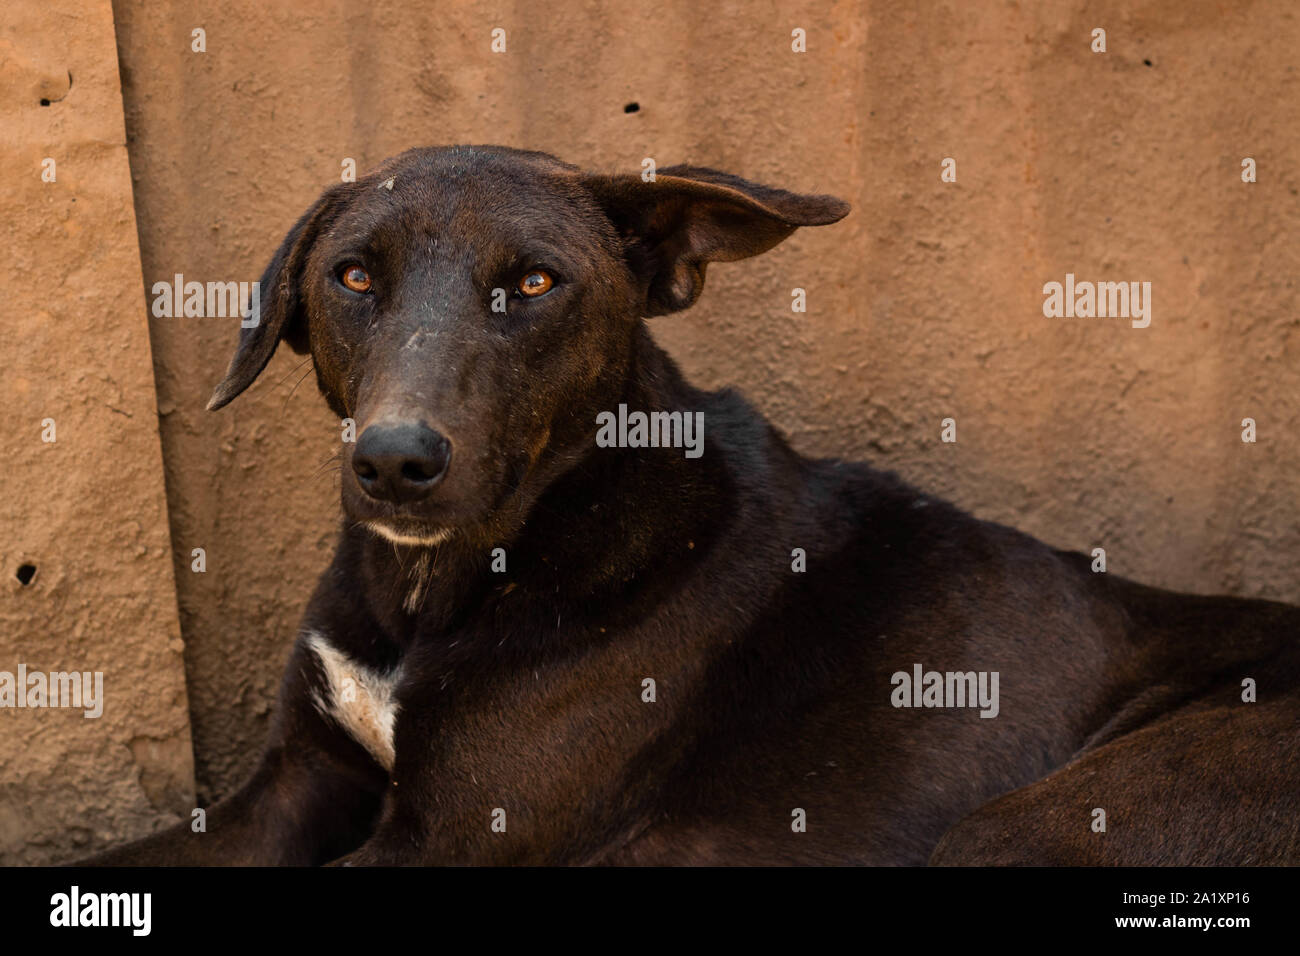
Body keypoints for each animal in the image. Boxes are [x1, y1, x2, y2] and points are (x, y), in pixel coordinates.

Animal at [91, 143, 1300, 868]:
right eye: (352, 275)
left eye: (533, 282)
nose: (396, 462)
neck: (438, 585)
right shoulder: (288, 784)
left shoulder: (447, 840)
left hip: (1031, 825)